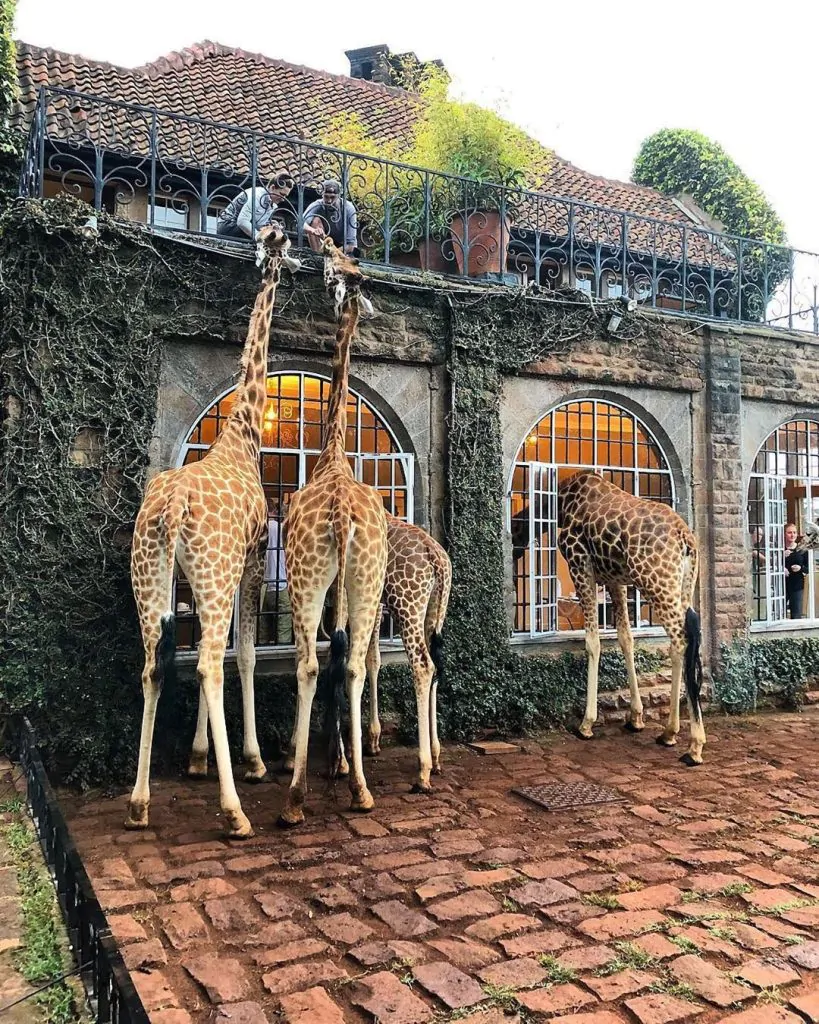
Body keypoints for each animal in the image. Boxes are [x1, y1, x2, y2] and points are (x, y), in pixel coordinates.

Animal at [126, 224, 300, 838]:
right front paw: (252, 760)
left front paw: (198, 757)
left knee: (154, 665)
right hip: (214, 570)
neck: (243, 433)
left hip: (152, 575)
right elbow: (241, 654)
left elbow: (218, 650)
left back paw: (139, 803)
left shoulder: (199, 578)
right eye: (285, 243)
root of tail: (172, 507)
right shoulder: (248, 560)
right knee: (204, 662)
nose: (289, 260)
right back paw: (235, 812)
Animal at [557, 470, 706, 765]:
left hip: (656, 582)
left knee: (681, 639)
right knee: (684, 641)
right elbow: (626, 638)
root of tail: (686, 538)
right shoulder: (616, 580)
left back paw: (692, 744)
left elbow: (593, 642)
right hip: (683, 584)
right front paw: (635, 717)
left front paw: (586, 724)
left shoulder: (580, 565)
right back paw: (669, 734)